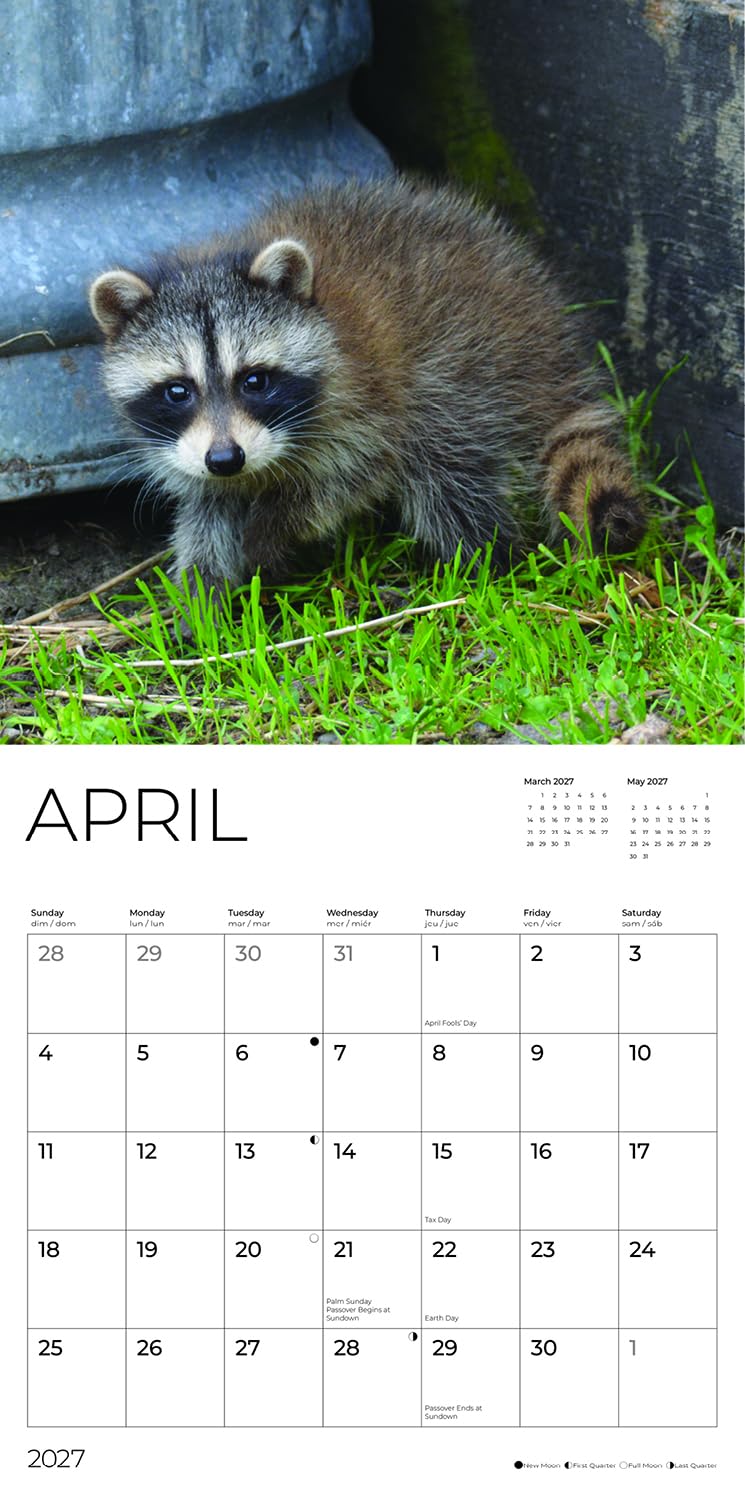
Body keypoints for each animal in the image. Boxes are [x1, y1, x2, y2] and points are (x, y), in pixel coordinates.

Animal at [89, 177, 644, 596]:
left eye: (254, 380)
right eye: (177, 391)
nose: (226, 459)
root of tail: (549, 333)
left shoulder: (369, 399)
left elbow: (345, 480)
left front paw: (274, 527)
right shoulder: (186, 447)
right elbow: (207, 509)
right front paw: (202, 594)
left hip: (465, 377)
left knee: (448, 480)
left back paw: (487, 561)